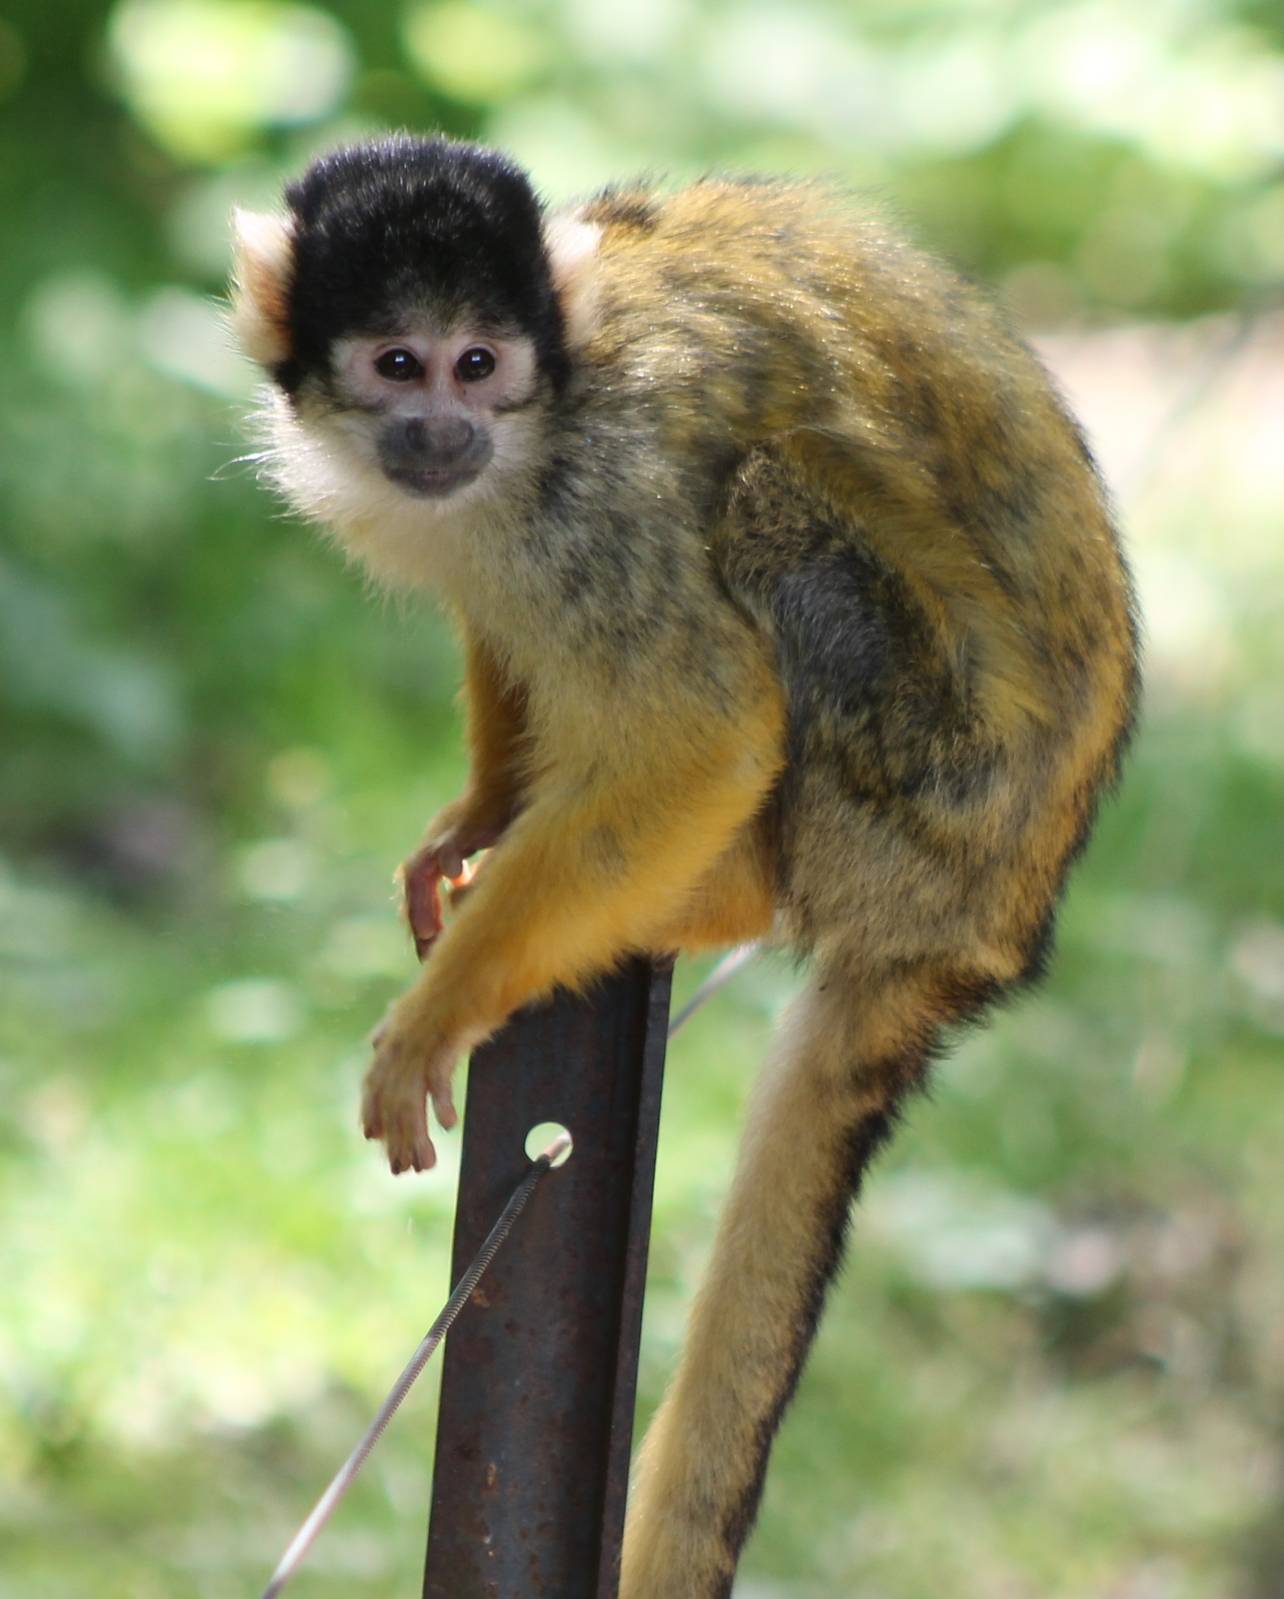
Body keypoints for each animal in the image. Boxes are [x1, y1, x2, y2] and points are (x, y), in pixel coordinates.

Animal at [229, 134, 1138, 1597]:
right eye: (397, 364)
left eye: (479, 363)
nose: (445, 432)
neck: (546, 420)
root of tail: (988, 933)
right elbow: (500, 617)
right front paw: (477, 821)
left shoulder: (605, 493)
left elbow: (704, 731)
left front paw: (445, 1005)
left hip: (919, 794)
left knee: (763, 507)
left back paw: (724, 892)